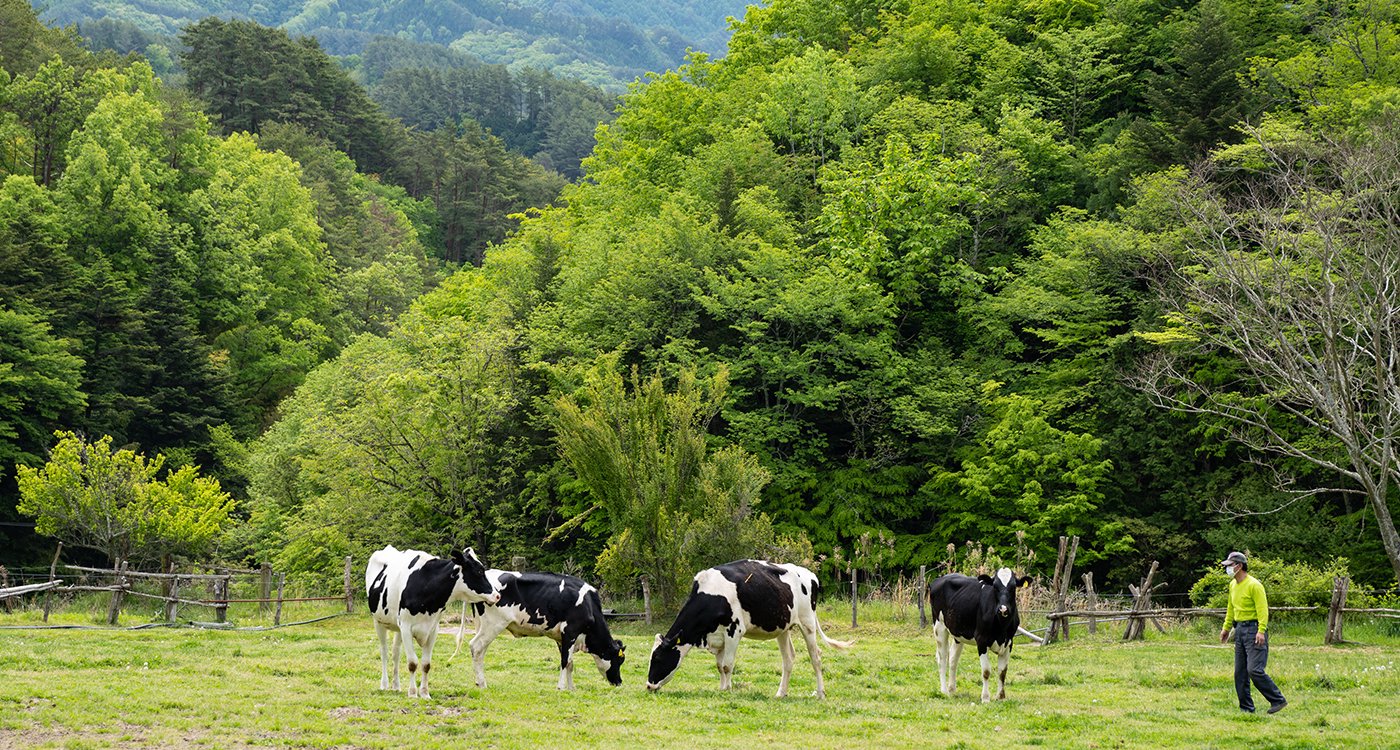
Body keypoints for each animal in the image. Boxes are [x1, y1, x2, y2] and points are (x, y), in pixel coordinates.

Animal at [366, 545, 504, 696]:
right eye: (479, 571)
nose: (497, 595)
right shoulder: (406, 627)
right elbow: (412, 663)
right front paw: (413, 693)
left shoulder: (432, 629)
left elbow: (426, 664)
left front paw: (425, 693)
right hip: (378, 622)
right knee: (384, 652)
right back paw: (384, 685)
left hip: (397, 627)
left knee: (395, 653)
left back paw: (396, 686)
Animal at [467, 573, 627, 691]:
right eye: (620, 660)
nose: (619, 682)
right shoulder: (570, 632)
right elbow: (565, 661)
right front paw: (561, 687)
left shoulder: (562, 638)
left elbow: (570, 663)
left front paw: (571, 688)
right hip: (494, 625)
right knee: (476, 646)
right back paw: (482, 684)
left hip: (483, 625)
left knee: (480, 652)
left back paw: (478, 681)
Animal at [644, 556, 851, 696]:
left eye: (658, 658)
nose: (648, 685)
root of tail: (810, 574)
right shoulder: (718, 636)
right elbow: (719, 666)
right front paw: (722, 688)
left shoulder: (734, 631)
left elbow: (727, 665)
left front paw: (727, 690)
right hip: (783, 627)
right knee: (788, 659)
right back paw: (781, 693)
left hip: (807, 622)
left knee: (815, 657)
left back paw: (820, 693)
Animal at [924, 570, 1036, 699]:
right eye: (995, 587)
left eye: (1013, 587)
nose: (1003, 609)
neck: (1001, 628)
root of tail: (940, 578)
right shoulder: (981, 640)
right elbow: (986, 671)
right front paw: (985, 697)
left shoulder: (1009, 642)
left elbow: (1002, 671)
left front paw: (1000, 697)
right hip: (939, 626)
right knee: (942, 659)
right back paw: (944, 691)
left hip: (958, 632)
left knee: (952, 659)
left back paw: (952, 689)